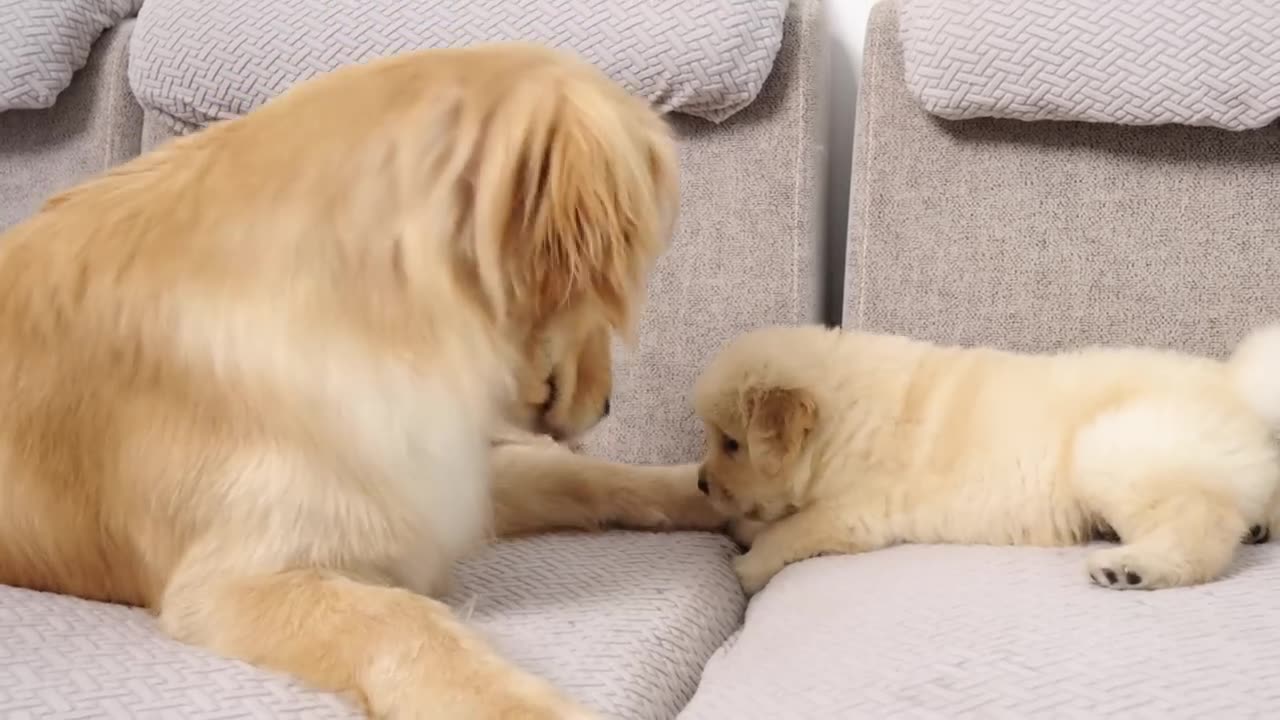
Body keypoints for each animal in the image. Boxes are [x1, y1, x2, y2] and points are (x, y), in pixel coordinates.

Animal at [0, 41, 727, 712]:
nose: (607, 406)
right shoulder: (233, 578)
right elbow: (404, 623)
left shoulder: (428, 477)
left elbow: (578, 474)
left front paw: (713, 490)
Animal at [696, 325, 1280, 594]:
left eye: (732, 444)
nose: (703, 483)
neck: (842, 421)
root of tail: (1239, 388)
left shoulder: (852, 511)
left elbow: (789, 529)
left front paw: (749, 562)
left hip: (1113, 448)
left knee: (1200, 527)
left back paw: (1130, 568)